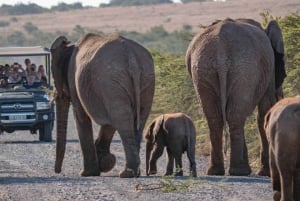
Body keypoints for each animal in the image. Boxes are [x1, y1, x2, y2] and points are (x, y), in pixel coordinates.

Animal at [49, 33, 155, 178]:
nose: (58, 171)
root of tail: (131, 57)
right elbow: (108, 122)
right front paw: (105, 163)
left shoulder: (74, 80)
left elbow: (81, 116)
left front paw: (87, 173)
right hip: (145, 79)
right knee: (136, 120)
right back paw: (134, 173)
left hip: (111, 81)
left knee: (122, 121)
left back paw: (126, 173)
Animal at [185, 18, 286, 176]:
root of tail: (220, 47)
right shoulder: (270, 71)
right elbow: (265, 110)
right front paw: (265, 173)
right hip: (244, 68)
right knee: (236, 116)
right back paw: (239, 171)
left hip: (203, 68)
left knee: (216, 117)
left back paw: (216, 171)